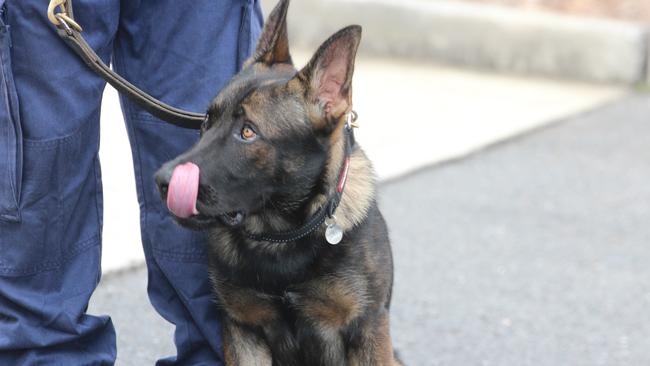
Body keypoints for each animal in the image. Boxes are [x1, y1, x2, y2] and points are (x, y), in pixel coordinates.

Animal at [154, 1, 398, 364]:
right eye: (207, 121)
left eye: (248, 132)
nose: (163, 181)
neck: (281, 237)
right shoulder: (243, 331)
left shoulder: (367, 330)